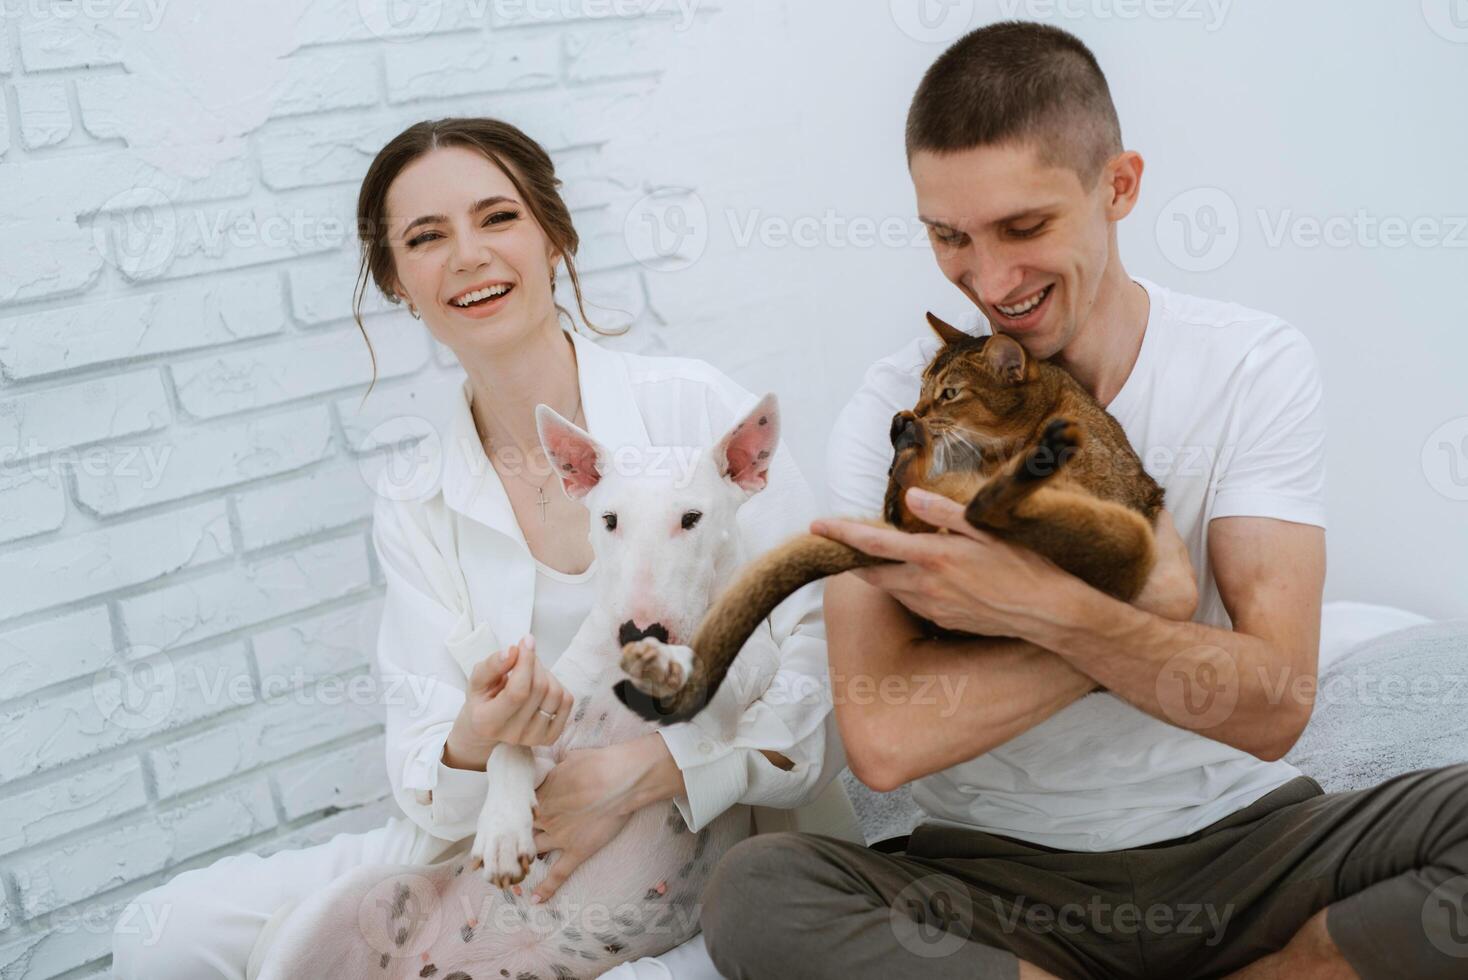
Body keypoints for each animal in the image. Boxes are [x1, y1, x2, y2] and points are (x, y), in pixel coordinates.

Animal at [258, 393, 798, 979]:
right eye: (609, 520)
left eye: (692, 518)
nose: (638, 631)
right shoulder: (552, 746)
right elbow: (505, 752)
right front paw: (501, 830)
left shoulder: (748, 671)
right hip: (329, 913)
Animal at [613, 309, 1162, 724]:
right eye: (923, 386)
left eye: (949, 394)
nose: (915, 408)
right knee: (922, 506)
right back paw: (913, 447)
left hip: (1130, 547)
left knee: (969, 509)